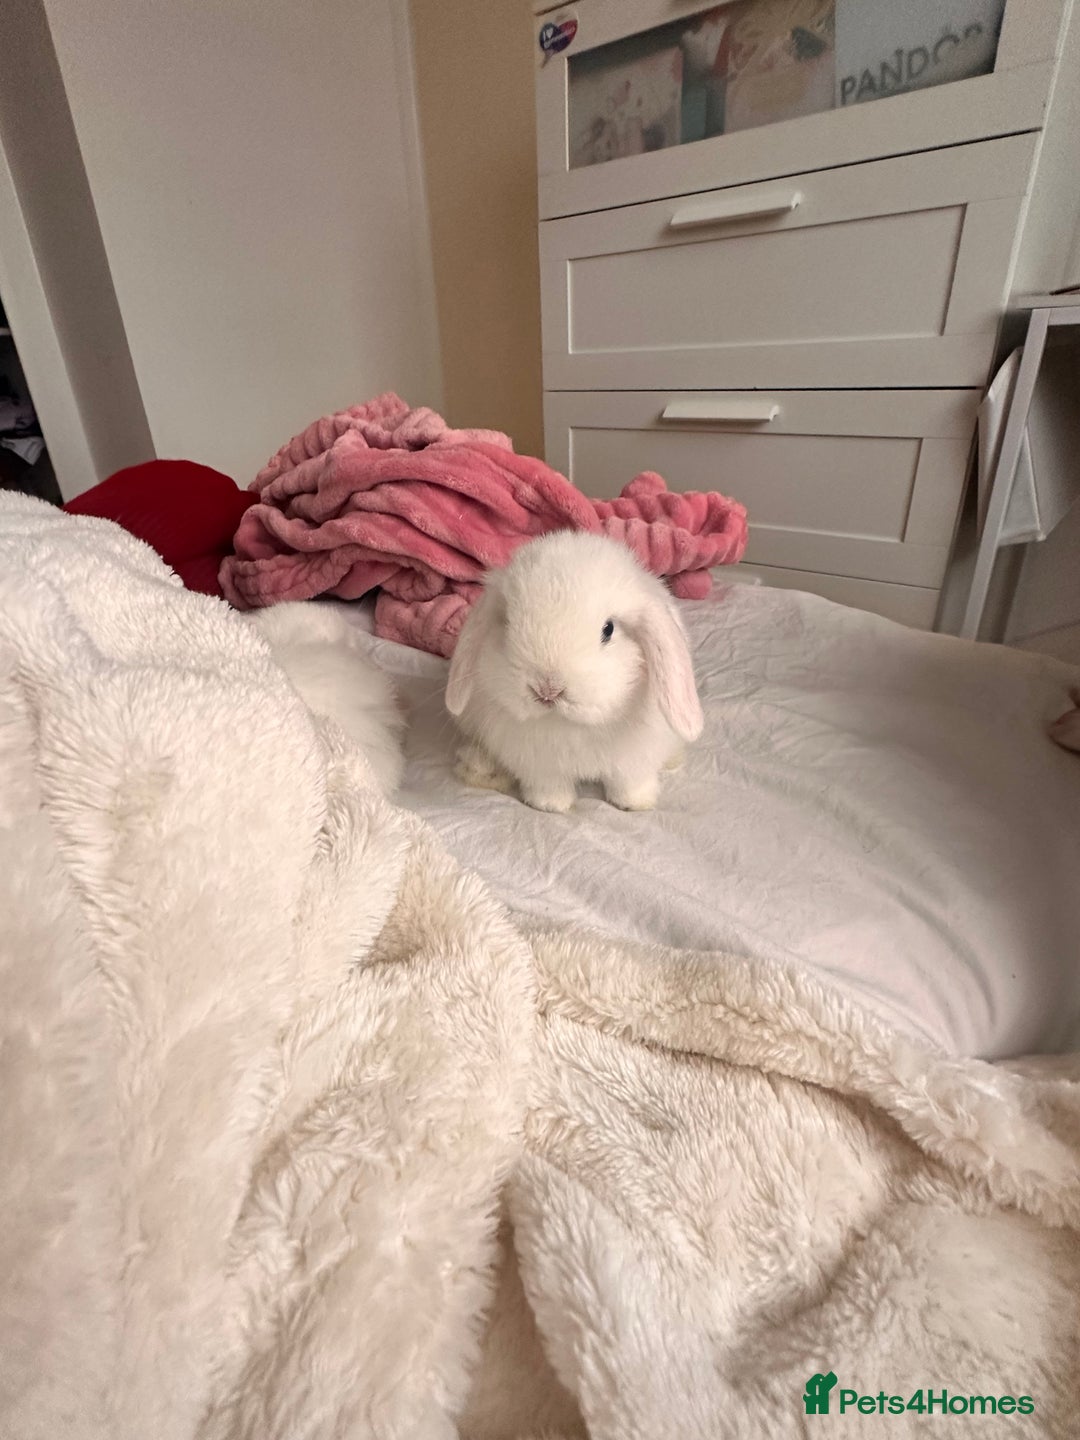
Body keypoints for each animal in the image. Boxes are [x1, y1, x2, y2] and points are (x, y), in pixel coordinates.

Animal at [445, 530, 704, 813]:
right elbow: (549, 785)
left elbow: (629, 783)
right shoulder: (539, 765)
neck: (570, 725)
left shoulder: (634, 761)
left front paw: (635, 804)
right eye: (507, 623)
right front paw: (550, 805)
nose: (547, 689)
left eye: (608, 630)